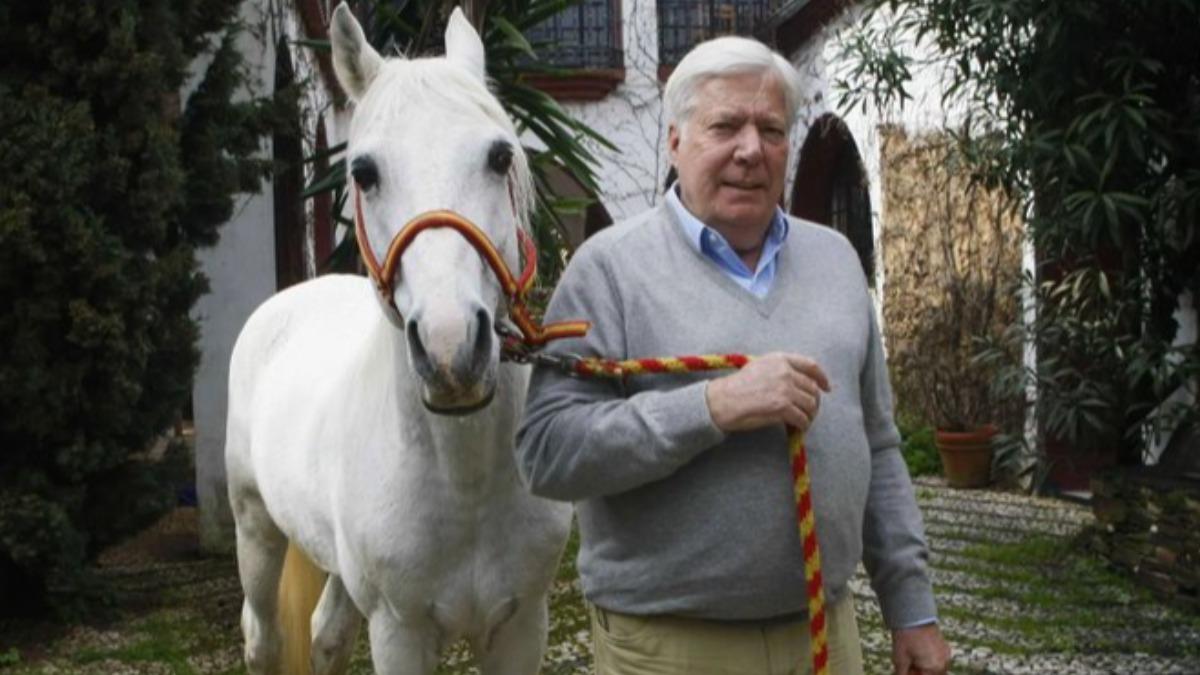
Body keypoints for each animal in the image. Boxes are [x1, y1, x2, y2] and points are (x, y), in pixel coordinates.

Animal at [224, 5, 572, 673]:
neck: (464, 485)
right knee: (263, 636)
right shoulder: (399, 631)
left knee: (326, 633)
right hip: (255, 528)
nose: (451, 349)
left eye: (499, 157)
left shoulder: (522, 625)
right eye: (363, 173)